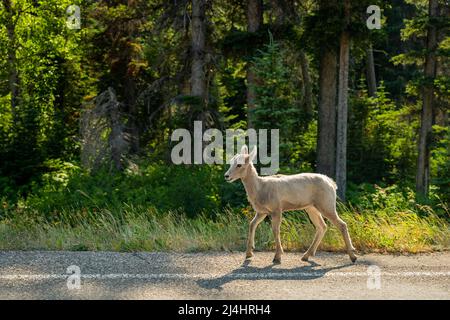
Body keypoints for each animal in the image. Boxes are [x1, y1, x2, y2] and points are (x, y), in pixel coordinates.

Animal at [227, 145, 356, 262]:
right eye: (231, 162)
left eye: (239, 165)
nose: (226, 176)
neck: (260, 188)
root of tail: (332, 183)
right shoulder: (261, 211)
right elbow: (252, 224)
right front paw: (249, 253)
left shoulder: (276, 208)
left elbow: (275, 230)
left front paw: (277, 256)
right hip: (311, 207)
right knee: (322, 226)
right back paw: (306, 255)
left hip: (326, 203)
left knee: (342, 224)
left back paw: (353, 256)